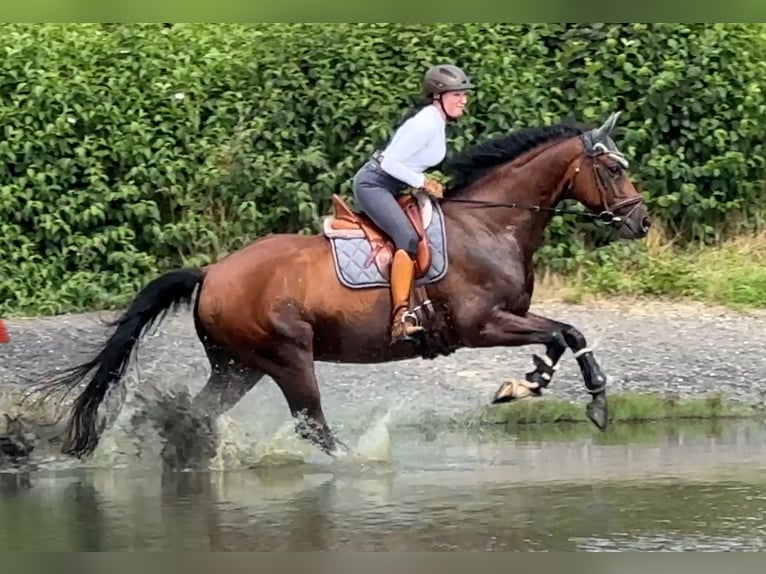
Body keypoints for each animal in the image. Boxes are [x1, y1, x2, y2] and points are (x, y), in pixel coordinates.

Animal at [37, 112, 656, 462]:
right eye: (614, 170)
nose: (641, 222)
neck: (492, 225)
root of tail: (211, 273)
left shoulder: (506, 321)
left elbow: (561, 337)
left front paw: (531, 385)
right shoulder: (482, 325)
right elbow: (567, 332)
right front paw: (575, 396)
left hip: (237, 365)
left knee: (198, 413)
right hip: (287, 358)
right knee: (311, 424)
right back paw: (354, 464)